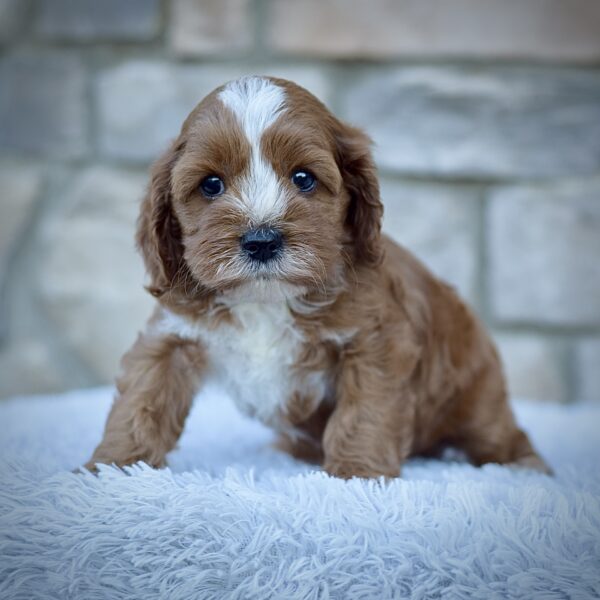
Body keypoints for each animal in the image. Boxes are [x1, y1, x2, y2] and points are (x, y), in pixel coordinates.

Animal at [84, 76, 548, 478]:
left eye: (303, 178)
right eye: (211, 184)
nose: (261, 240)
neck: (266, 300)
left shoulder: (377, 341)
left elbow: (364, 411)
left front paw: (357, 474)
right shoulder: (172, 334)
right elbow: (142, 399)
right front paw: (109, 469)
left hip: (478, 402)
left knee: (501, 436)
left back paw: (525, 466)